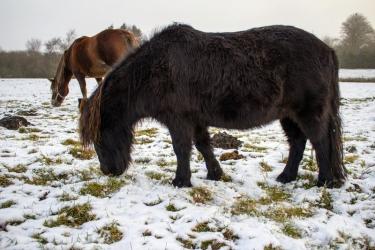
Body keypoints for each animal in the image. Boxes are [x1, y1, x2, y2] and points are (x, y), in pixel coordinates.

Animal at [79, 23, 346, 188]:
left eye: (100, 137)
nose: (109, 171)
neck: (154, 70)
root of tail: (328, 50)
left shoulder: (179, 120)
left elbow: (181, 149)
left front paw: (180, 181)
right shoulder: (196, 119)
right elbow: (204, 146)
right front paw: (215, 174)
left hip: (309, 112)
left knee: (320, 142)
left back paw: (325, 181)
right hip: (288, 115)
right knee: (298, 142)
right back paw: (286, 177)